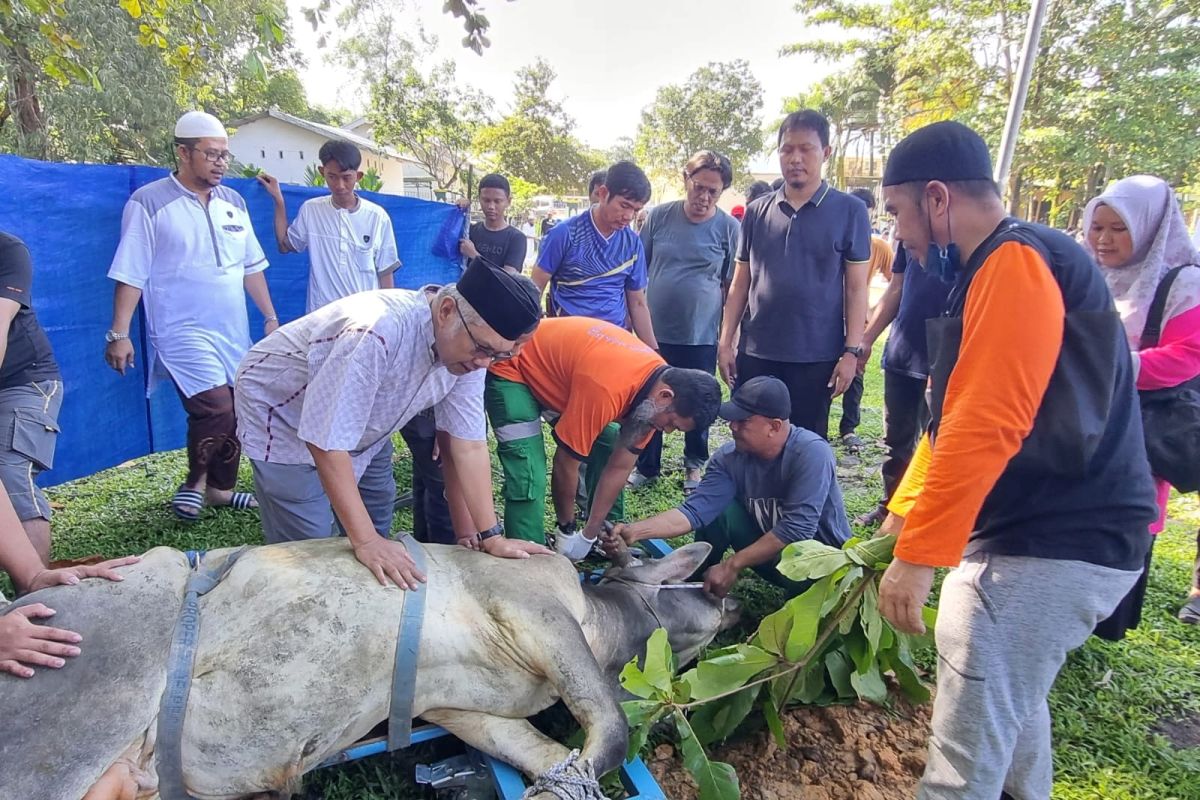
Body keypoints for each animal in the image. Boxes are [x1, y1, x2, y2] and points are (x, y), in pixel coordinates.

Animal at [0, 534, 734, 796]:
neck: (600, 619)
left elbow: (550, 755)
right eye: (688, 582)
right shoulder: (536, 608)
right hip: (76, 729)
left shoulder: (464, 712)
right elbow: (608, 729)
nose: (728, 597)